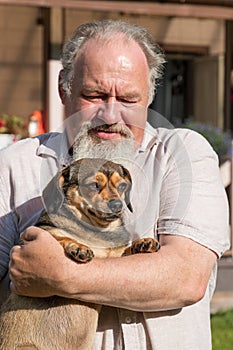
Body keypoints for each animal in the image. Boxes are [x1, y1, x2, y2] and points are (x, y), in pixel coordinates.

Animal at [0, 159, 160, 350]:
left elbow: (126, 251)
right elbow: (62, 236)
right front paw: (78, 247)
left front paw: (142, 243)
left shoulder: (116, 256)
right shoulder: (38, 235)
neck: (98, 231)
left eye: (122, 186)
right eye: (93, 185)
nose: (117, 205)